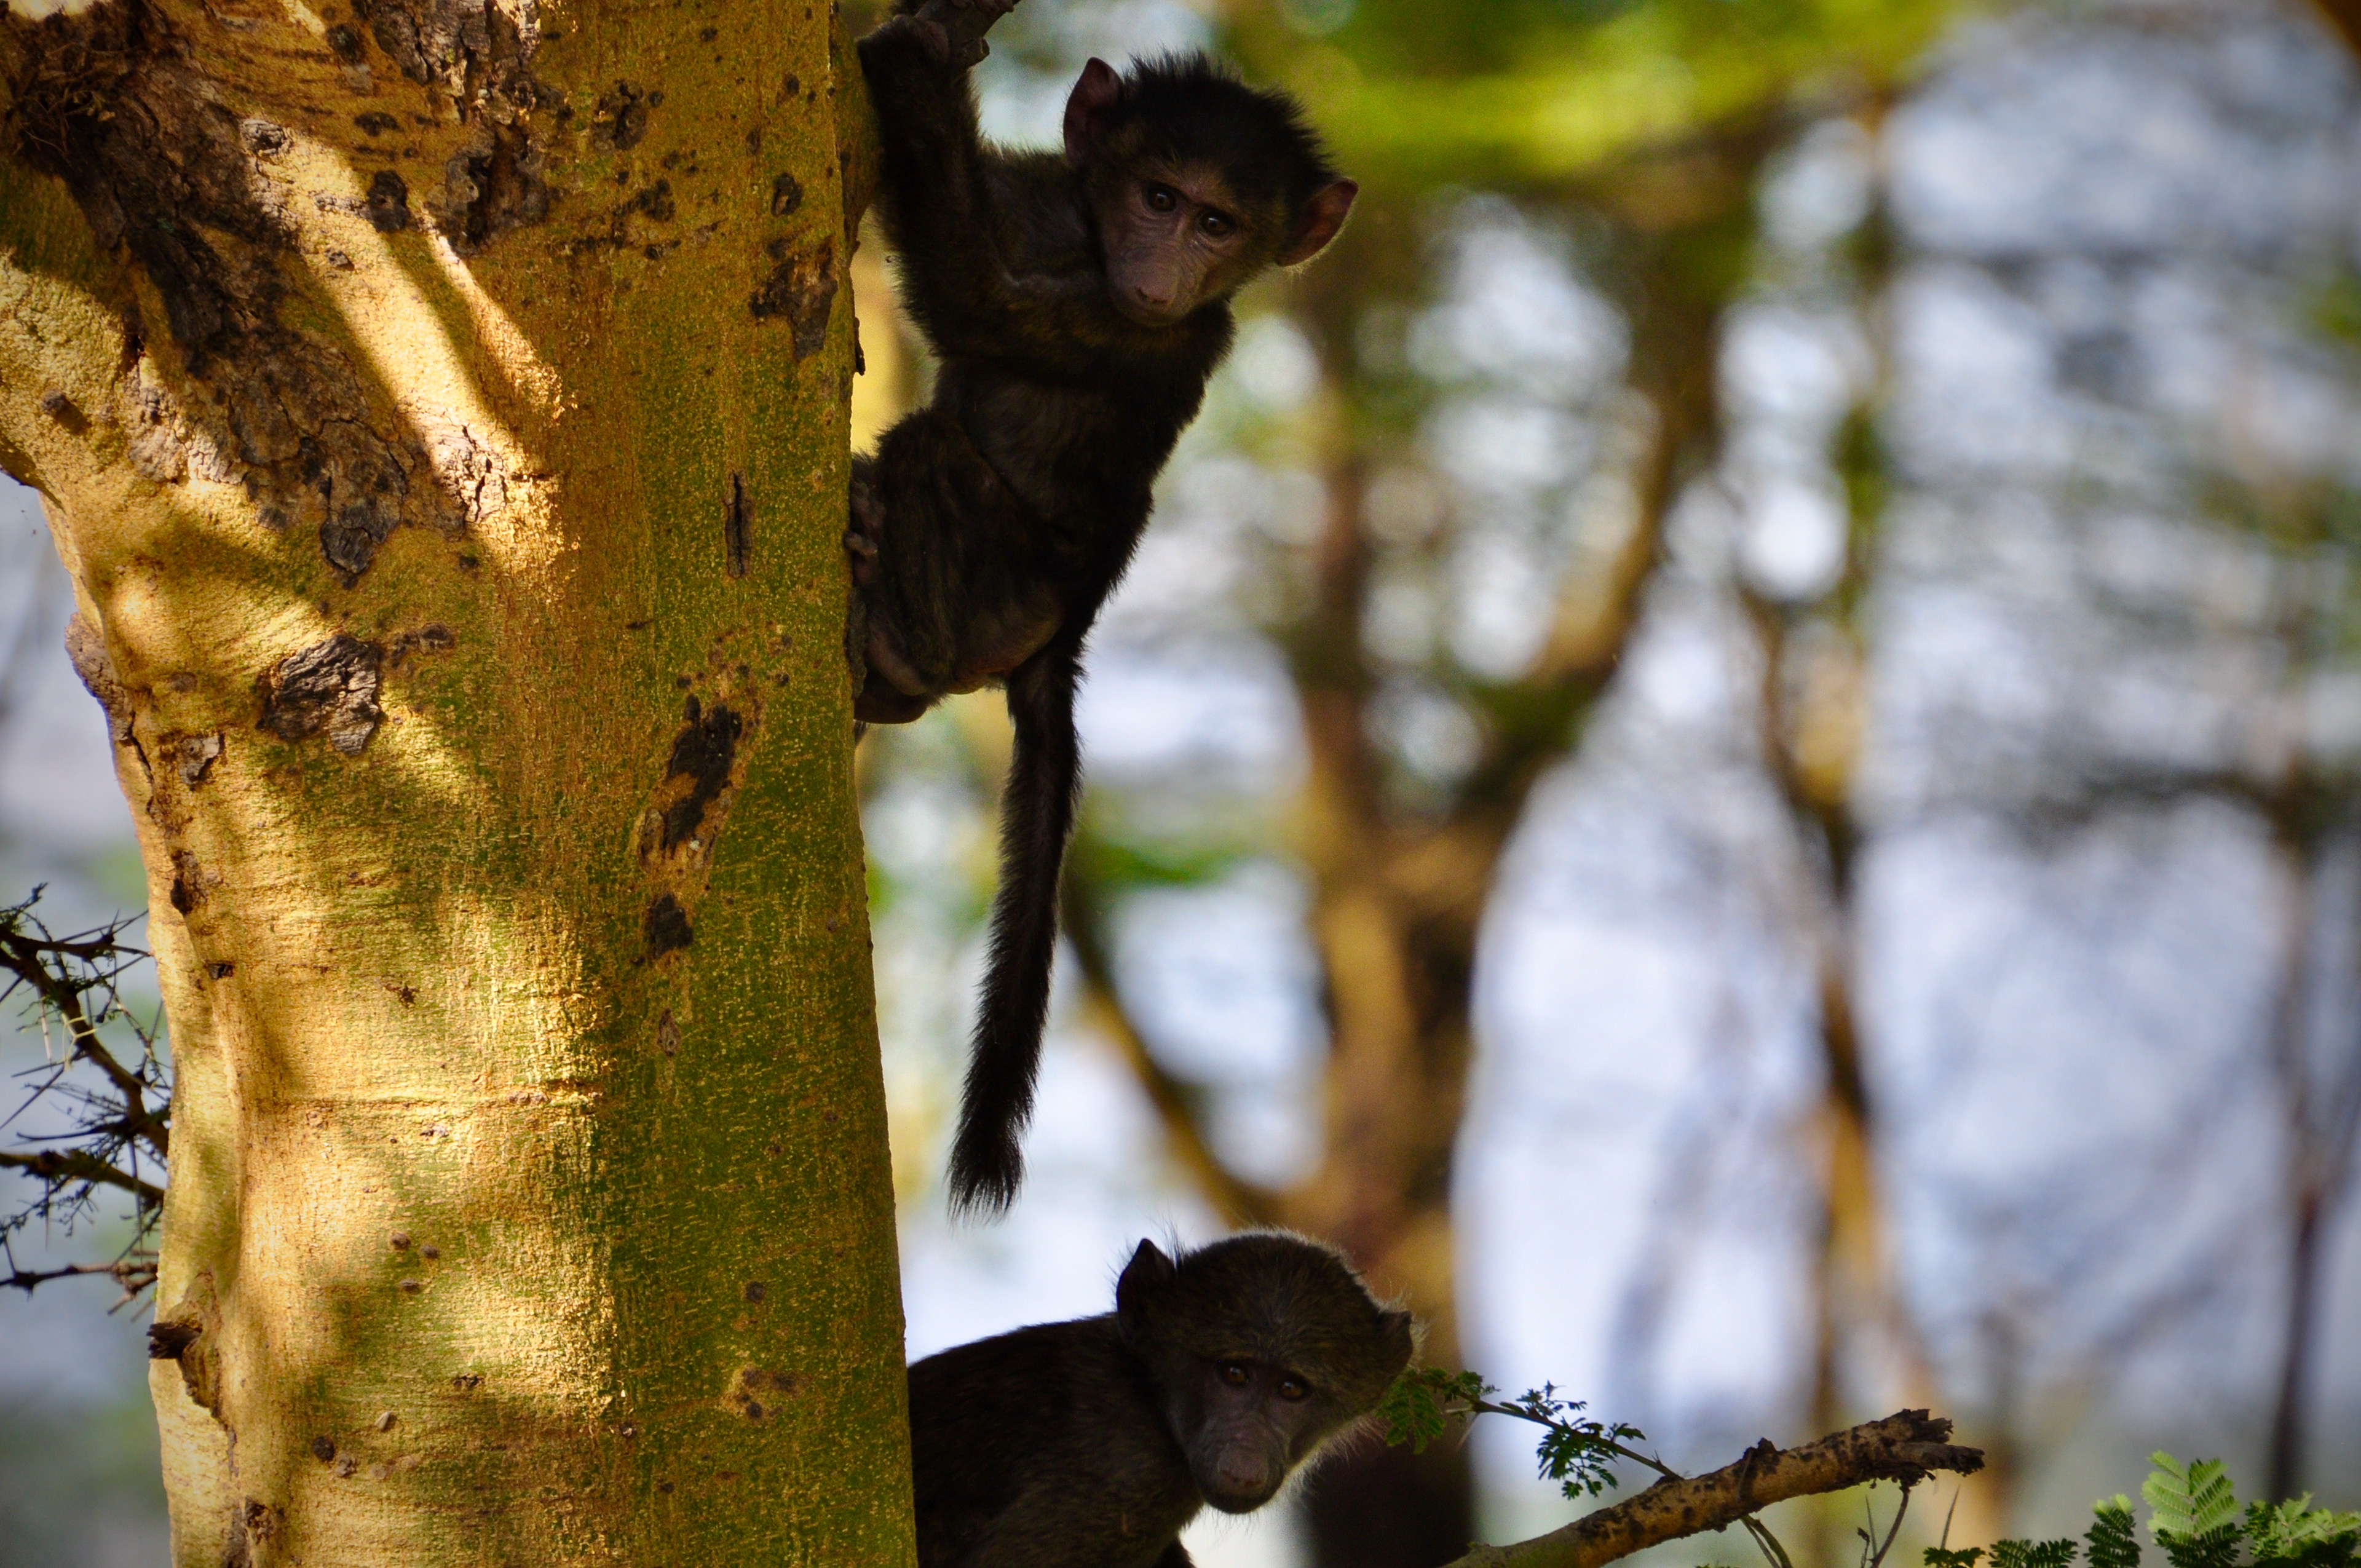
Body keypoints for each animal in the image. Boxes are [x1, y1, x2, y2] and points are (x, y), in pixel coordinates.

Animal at [850, 7, 1360, 1216]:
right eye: (1158, 197)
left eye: (1220, 222)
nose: (1164, 268)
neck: (1085, 248)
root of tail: (1065, 636)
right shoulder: (1040, 192)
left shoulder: (1150, 335)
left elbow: (976, 300)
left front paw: (913, 64)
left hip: (998, 582)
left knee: (934, 453)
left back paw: (888, 638)